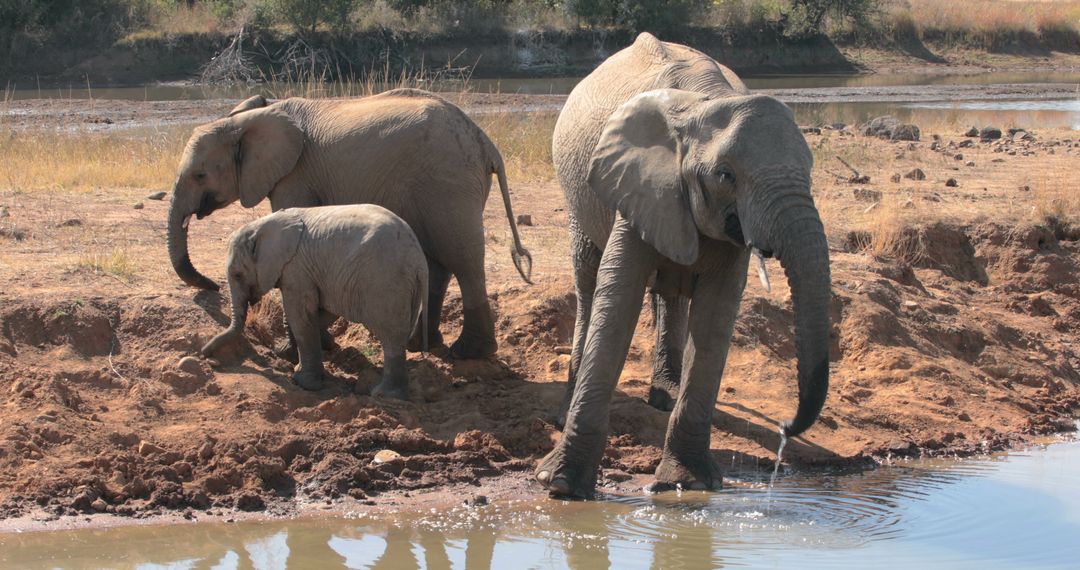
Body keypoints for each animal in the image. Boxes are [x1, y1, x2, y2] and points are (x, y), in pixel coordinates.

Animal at [167, 87, 531, 358]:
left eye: (200, 176)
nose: (212, 286)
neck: (246, 120)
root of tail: (485, 142)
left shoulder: (295, 174)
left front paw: (291, 352)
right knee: (438, 261)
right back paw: (420, 345)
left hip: (448, 180)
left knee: (462, 258)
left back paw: (468, 353)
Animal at [201, 202, 425, 399]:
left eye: (238, 275)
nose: (205, 354)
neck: (262, 226)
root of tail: (419, 259)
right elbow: (323, 311)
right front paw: (288, 355)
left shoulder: (296, 268)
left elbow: (299, 314)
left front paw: (303, 382)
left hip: (385, 282)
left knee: (391, 337)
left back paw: (384, 395)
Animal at [535, 32, 829, 498]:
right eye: (726, 175)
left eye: (810, 171)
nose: (787, 425)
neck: (706, 103)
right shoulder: (636, 181)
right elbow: (617, 298)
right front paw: (561, 485)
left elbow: (715, 315)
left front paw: (688, 483)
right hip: (576, 194)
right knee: (587, 281)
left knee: (670, 292)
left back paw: (666, 395)